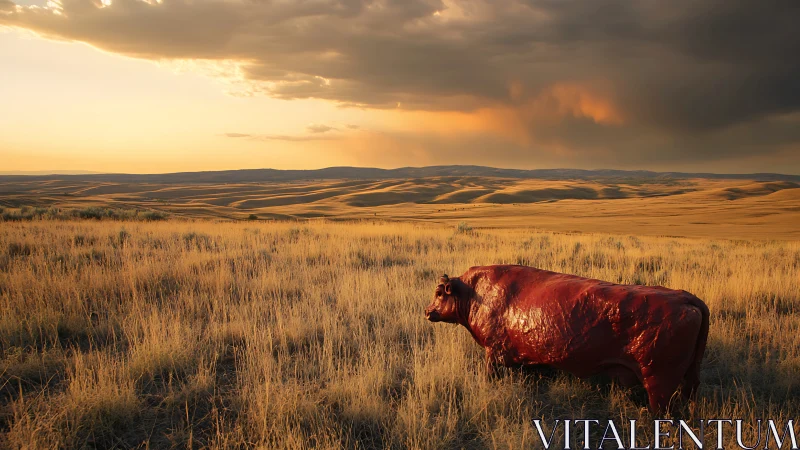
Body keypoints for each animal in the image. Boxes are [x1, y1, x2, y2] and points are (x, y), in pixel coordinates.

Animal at [424, 265, 709, 412]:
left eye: (439, 293)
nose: (427, 311)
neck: (475, 292)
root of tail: (687, 299)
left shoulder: (492, 354)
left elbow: (490, 373)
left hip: (657, 382)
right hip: (690, 375)